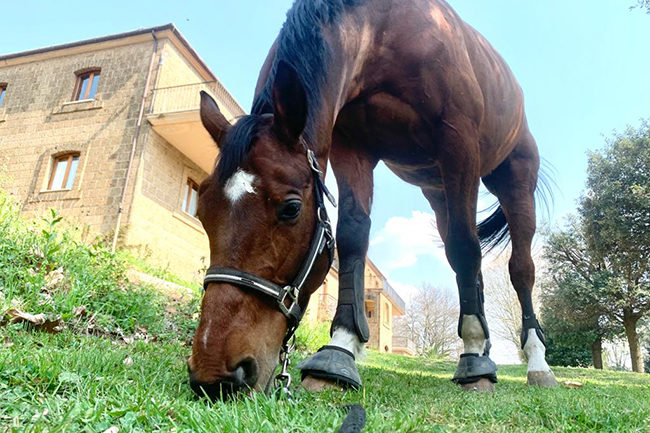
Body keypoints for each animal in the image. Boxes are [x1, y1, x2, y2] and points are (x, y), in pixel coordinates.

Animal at [185, 0, 556, 398]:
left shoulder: (459, 141)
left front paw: (473, 354)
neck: (385, 30)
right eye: (202, 210)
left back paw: (534, 361)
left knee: (519, 268)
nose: (215, 375)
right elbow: (353, 234)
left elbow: (467, 249)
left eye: (291, 208)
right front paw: (341, 348)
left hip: (514, 178)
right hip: (439, 191)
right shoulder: (352, 144)